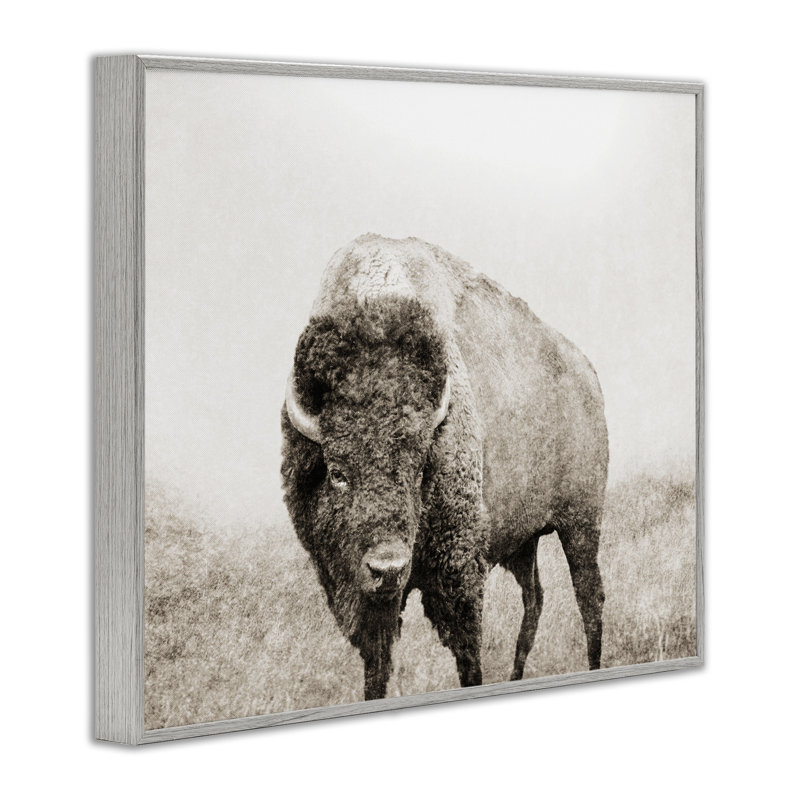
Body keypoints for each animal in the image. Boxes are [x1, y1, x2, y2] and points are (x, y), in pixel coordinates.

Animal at [281, 234, 608, 700]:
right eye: (338, 472)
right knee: (535, 599)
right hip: (524, 541)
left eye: (419, 468)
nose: (387, 568)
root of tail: (588, 373)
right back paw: (516, 675)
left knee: (589, 597)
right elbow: (376, 669)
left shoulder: (459, 575)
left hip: (580, 522)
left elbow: (468, 657)